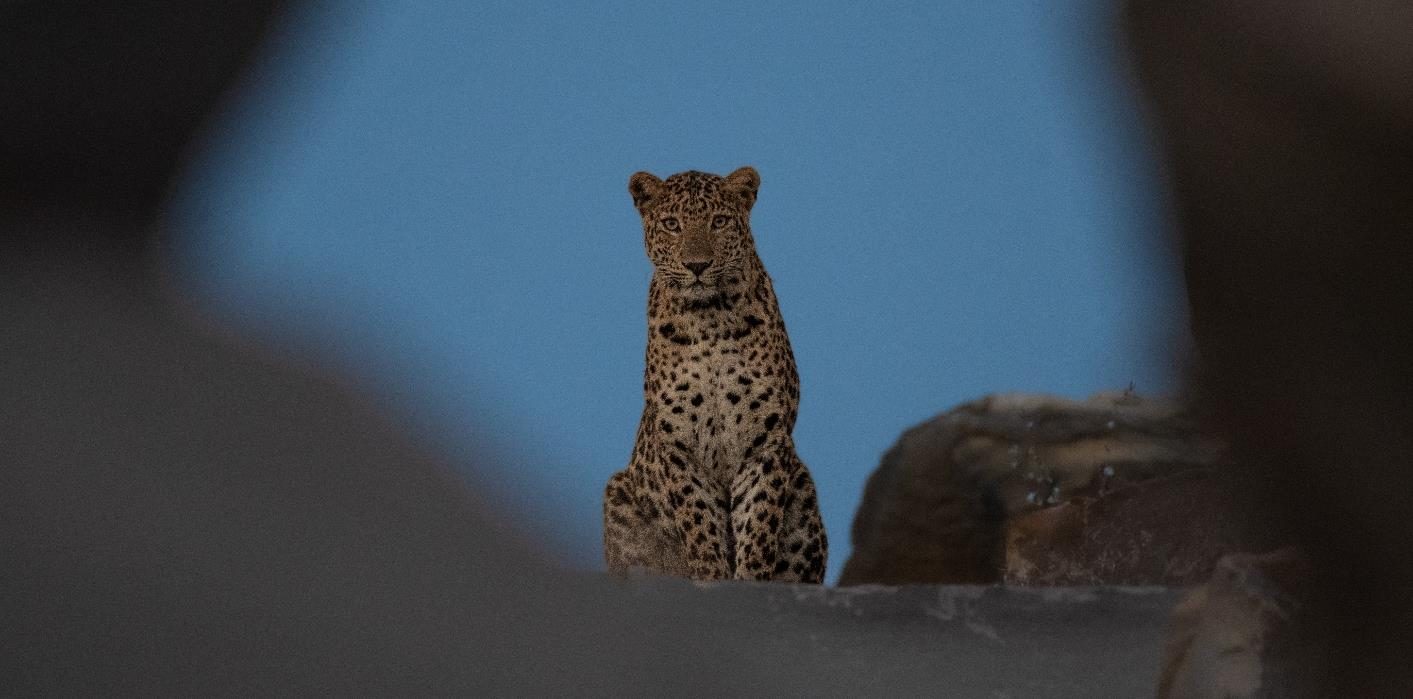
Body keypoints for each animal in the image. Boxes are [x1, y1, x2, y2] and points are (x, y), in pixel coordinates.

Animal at [602, 166, 827, 583]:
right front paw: (710, 578)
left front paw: (750, 580)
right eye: (672, 225)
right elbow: (700, 525)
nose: (697, 265)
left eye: (719, 222)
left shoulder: (765, 441)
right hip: (617, 494)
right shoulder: (679, 447)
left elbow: (758, 525)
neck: (709, 322)